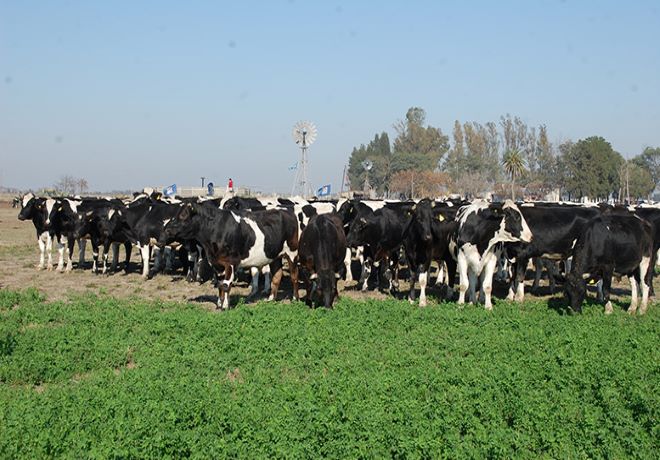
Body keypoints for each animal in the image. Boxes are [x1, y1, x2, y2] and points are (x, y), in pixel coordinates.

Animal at [159, 204, 298, 310]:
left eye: (183, 215)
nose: (166, 230)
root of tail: (285, 211)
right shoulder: (216, 263)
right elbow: (220, 284)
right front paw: (219, 303)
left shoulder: (230, 262)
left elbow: (226, 285)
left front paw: (225, 306)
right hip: (275, 256)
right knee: (277, 275)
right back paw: (270, 299)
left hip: (292, 253)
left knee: (294, 276)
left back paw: (295, 299)